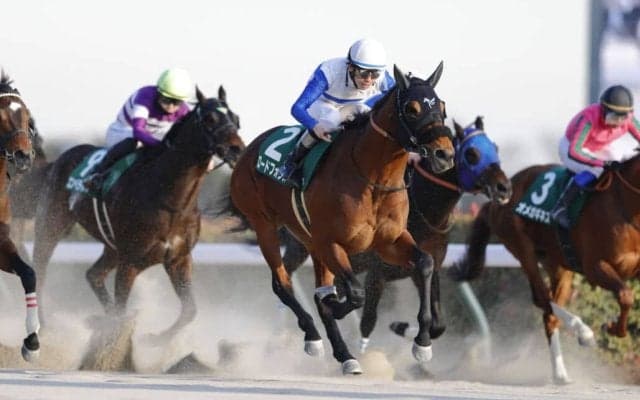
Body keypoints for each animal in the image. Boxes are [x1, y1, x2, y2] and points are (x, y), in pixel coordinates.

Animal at [31, 86, 245, 339]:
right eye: (210, 119)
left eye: (236, 119)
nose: (237, 149)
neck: (171, 203)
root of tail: (59, 160)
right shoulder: (130, 263)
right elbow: (122, 314)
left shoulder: (179, 260)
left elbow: (189, 311)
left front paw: (157, 339)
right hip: (51, 226)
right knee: (39, 273)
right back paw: (42, 326)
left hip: (112, 247)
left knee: (94, 275)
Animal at [230, 63, 456, 374]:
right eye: (412, 109)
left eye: (442, 107)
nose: (444, 154)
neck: (374, 180)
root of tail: (249, 149)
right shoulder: (332, 243)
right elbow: (354, 293)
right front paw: (336, 307)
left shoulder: (389, 242)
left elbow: (424, 263)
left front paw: (422, 342)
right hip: (264, 224)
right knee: (282, 283)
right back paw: (313, 336)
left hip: (309, 240)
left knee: (316, 287)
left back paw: (345, 354)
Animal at [280, 116, 512, 352]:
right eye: (471, 154)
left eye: (495, 148)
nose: (503, 187)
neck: (424, 213)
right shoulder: (377, 273)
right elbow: (368, 321)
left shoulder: (427, 268)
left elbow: (439, 323)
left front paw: (403, 328)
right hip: (301, 247)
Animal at [449, 152, 640, 384]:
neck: (625, 206)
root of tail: (496, 200)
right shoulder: (595, 266)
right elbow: (626, 295)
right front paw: (611, 327)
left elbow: (626, 296)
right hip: (522, 247)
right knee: (541, 297)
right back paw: (583, 333)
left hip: (558, 264)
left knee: (548, 312)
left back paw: (560, 373)